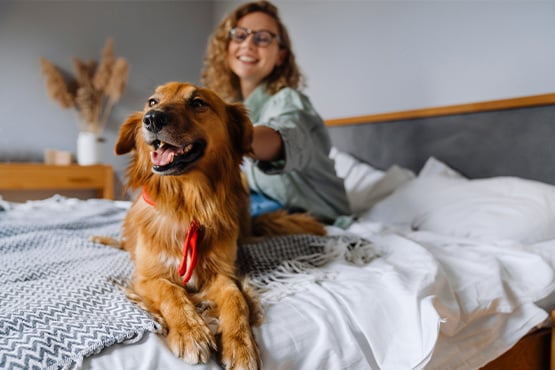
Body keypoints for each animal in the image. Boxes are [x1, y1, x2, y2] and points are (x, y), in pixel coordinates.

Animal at [103, 82, 326, 368]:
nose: (151, 119)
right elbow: (171, 291)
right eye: (152, 102)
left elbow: (236, 299)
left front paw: (240, 345)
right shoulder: (146, 277)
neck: (188, 205)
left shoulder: (222, 274)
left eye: (198, 103)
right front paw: (190, 331)